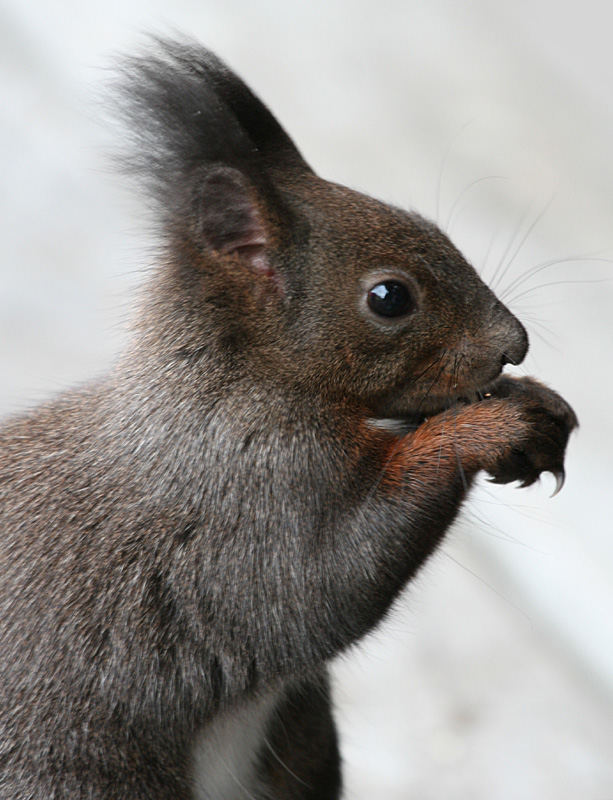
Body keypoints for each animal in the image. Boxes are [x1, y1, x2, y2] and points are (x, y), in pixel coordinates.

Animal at [0, 37, 576, 800]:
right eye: (389, 298)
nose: (513, 344)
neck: (244, 385)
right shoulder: (251, 499)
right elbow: (332, 573)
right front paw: (487, 429)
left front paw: (534, 400)